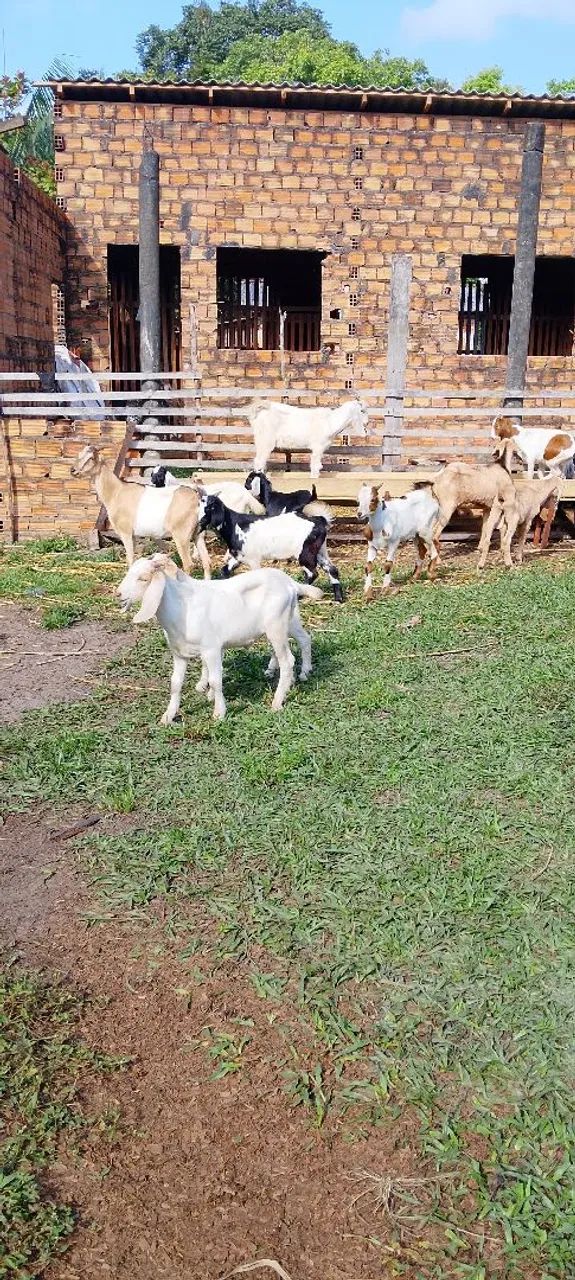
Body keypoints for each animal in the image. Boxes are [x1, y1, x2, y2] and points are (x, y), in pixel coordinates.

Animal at [71, 445, 211, 577]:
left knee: (188, 564)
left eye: (91, 458)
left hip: (181, 533)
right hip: (198, 533)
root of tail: (197, 498)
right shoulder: (133, 534)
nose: (72, 470)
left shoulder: (125, 531)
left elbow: (130, 560)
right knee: (207, 561)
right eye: (79, 454)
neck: (116, 492)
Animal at [117, 553, 322, 722]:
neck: (183, 608)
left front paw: (218, 713)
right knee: (304, 639)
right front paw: (168, 715)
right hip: (288, 621)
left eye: (143, 578)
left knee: (287, 660)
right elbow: (175, 683)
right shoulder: (179, 653)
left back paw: (277, 702)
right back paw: (300, 674)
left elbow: (216, 680)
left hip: (276, 625)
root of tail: (290, 583)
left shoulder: (211, 649)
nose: (118, 594)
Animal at [197, 494, 344, 602]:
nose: (199, 522)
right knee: (332, 569)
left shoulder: (253, 559)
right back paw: (338, 599)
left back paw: (299, 594)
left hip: (305, 553)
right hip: (319, 551)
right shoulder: (238, 556)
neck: (234, 525)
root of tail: (319, 520)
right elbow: (224, 571)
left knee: (312, 573)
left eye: (208, 508)